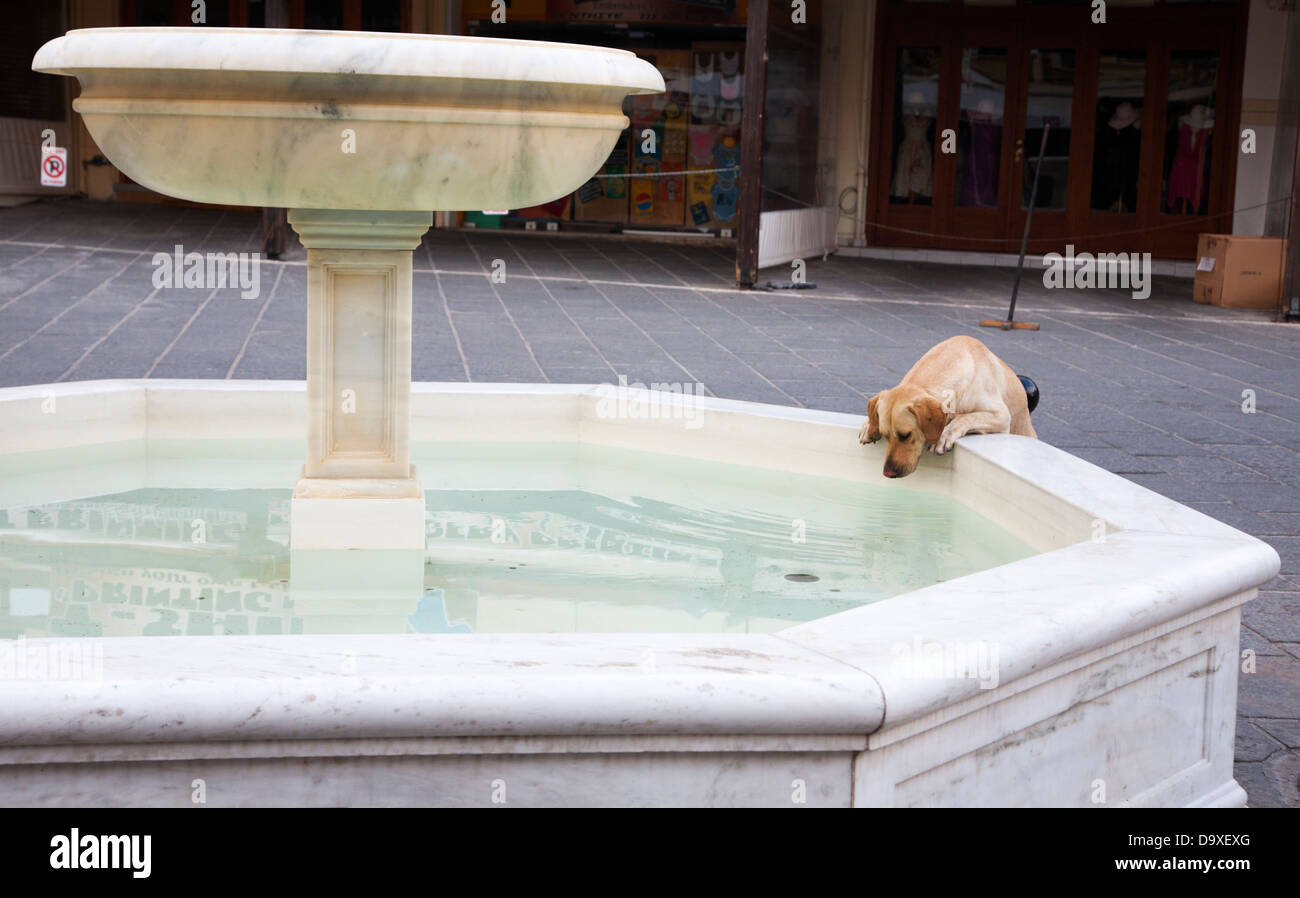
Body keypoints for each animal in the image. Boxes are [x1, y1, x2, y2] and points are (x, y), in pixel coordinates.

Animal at [857, 335, 1040, 478]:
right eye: (885, 435)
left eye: (905, 435)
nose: (888, 473)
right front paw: (869, 425)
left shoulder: (1001, 416)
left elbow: (965, 417)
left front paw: (945, 434)